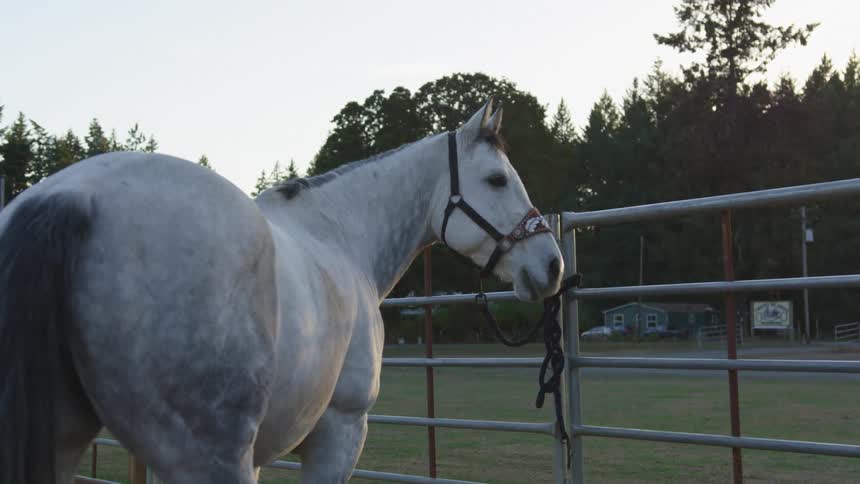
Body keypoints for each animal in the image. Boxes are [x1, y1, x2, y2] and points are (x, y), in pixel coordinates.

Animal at [0, 98, 563, 483]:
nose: (552, 264)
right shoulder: (339, 431)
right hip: (210, 453)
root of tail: (72, 195)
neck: (341, 235)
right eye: (496, 180)